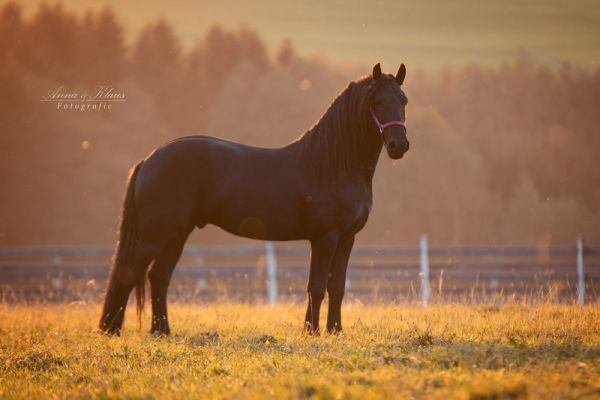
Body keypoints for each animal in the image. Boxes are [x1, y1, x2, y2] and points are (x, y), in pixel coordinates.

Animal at [99, 64, 408, 336]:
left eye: (404, 100)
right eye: (377, 101)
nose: (399, 145)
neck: (332, 165)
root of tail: (149, 159)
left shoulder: (346, 238)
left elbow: (337, 287)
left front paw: (335, 331)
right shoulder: (325, 237)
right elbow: (317, 286)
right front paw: (312, 332)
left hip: (177, 233)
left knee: (159, 276)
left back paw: (161, 331)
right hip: (155, 234)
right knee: (129, 273)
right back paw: (112, 330)